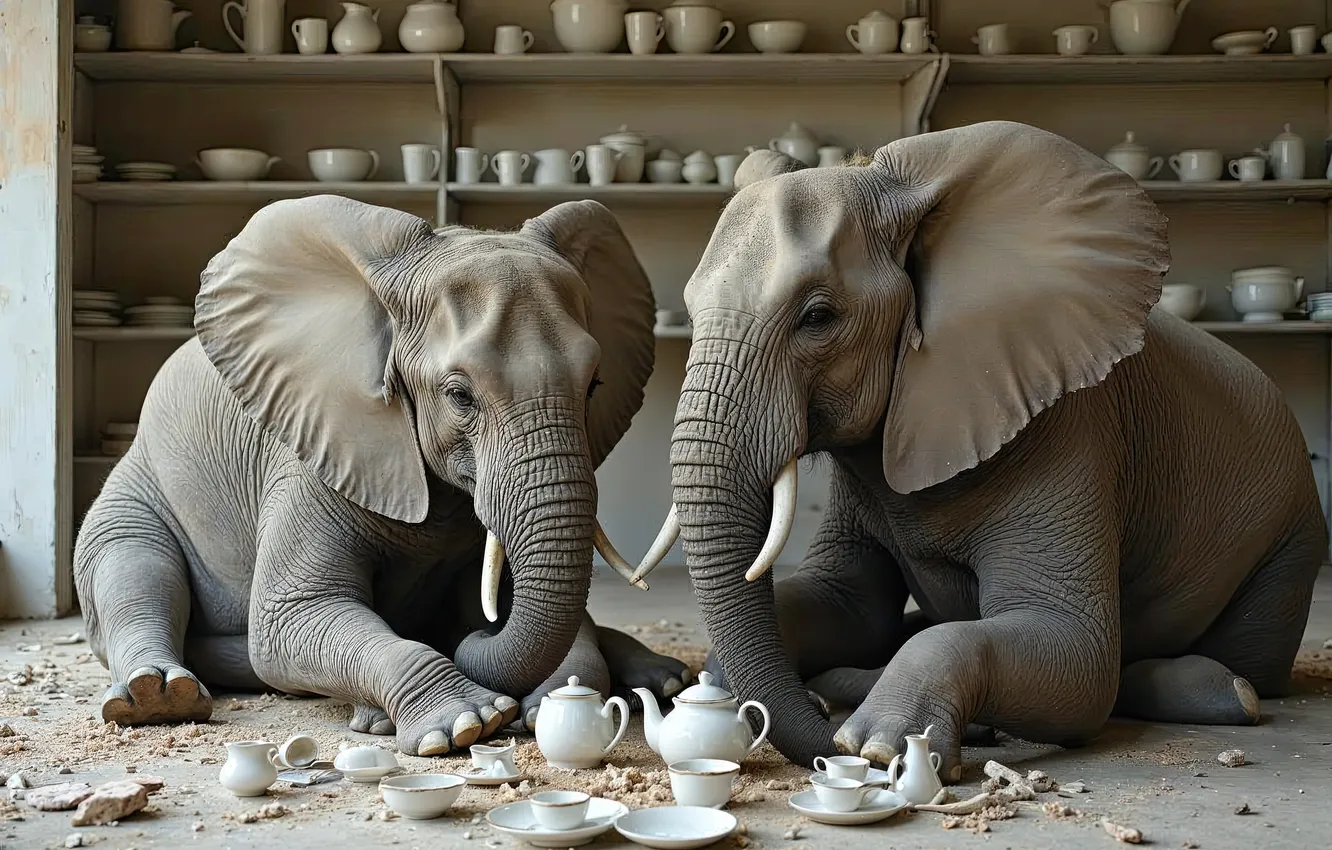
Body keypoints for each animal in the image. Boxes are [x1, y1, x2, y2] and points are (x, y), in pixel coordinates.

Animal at [74, 195, 689, 755]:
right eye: (459, 396)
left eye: (594, 388)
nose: (477, 632)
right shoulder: (316, 444)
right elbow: (286, 620)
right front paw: (467, 723)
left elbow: (561, 618)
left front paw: (550, 705)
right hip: (136, 490)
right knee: (134, 568)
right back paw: (159, 697)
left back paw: (666, 678)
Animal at [630, 121, 1327, 779]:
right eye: (688, 308)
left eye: (818, 317)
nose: (825, 741)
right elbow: (846, 605)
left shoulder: (1068, 422)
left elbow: (1076, 654)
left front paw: (880, 748)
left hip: (1290, 539)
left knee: (1240, 662)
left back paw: (1228, 691)